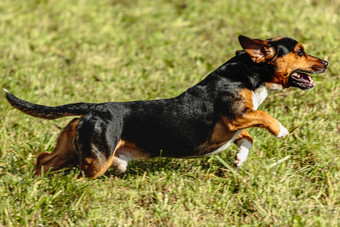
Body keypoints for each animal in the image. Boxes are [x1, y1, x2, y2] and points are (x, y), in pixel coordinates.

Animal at [4, 35, 326, 177]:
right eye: (300, 51)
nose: (325, 62)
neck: (249, 72)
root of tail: (93, 108)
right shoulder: (236, 117)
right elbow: (263, 116)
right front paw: (281, 130)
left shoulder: (235, 125)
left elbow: (247, 138)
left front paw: (238, 160)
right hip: (97, 159)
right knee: (78, 172)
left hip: (70, 149)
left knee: (44, 158)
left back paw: (34, 182)